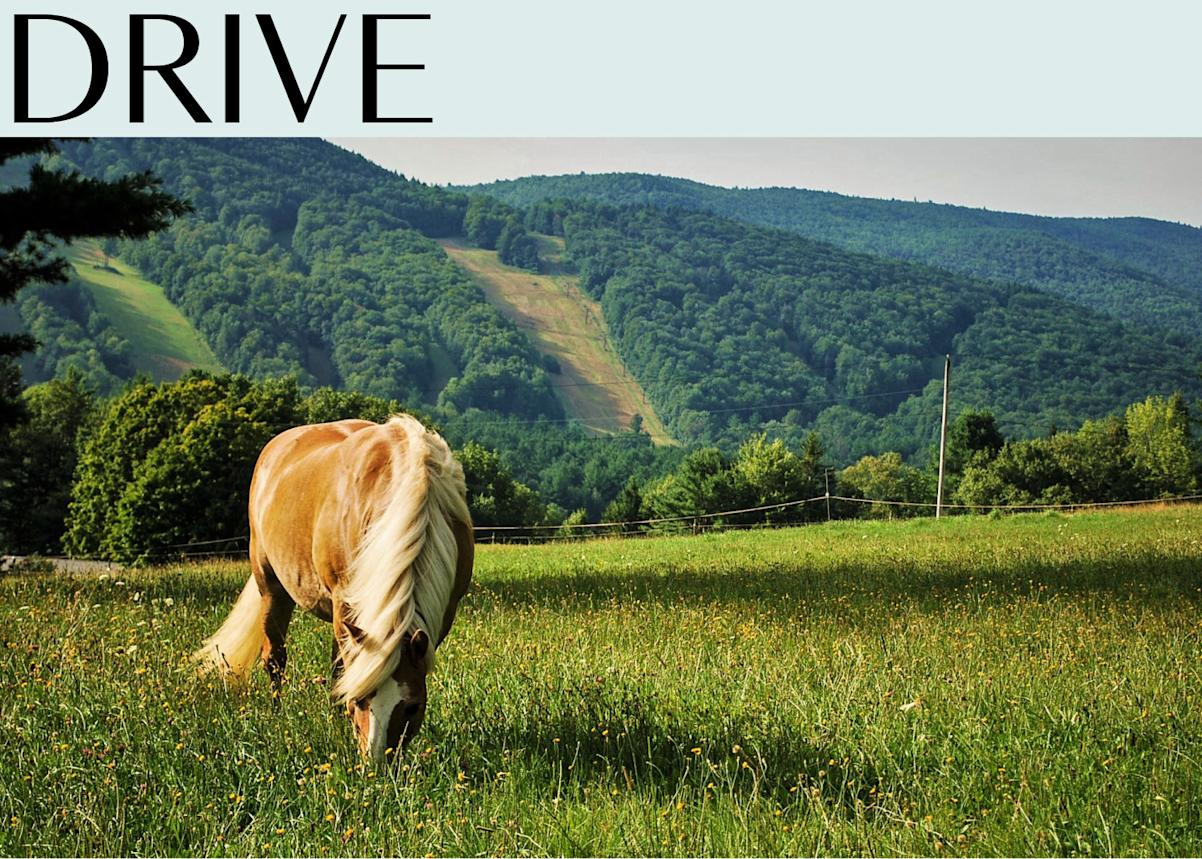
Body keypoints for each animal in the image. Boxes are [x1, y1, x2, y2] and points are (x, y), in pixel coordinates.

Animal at [193, 414, 474, 761]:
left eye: (412, 707)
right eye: (359, 699)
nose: (375, 765)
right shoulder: (344, 602)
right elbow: (342, 674)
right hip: (271, 586)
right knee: (275, 658)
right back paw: (276, 714)